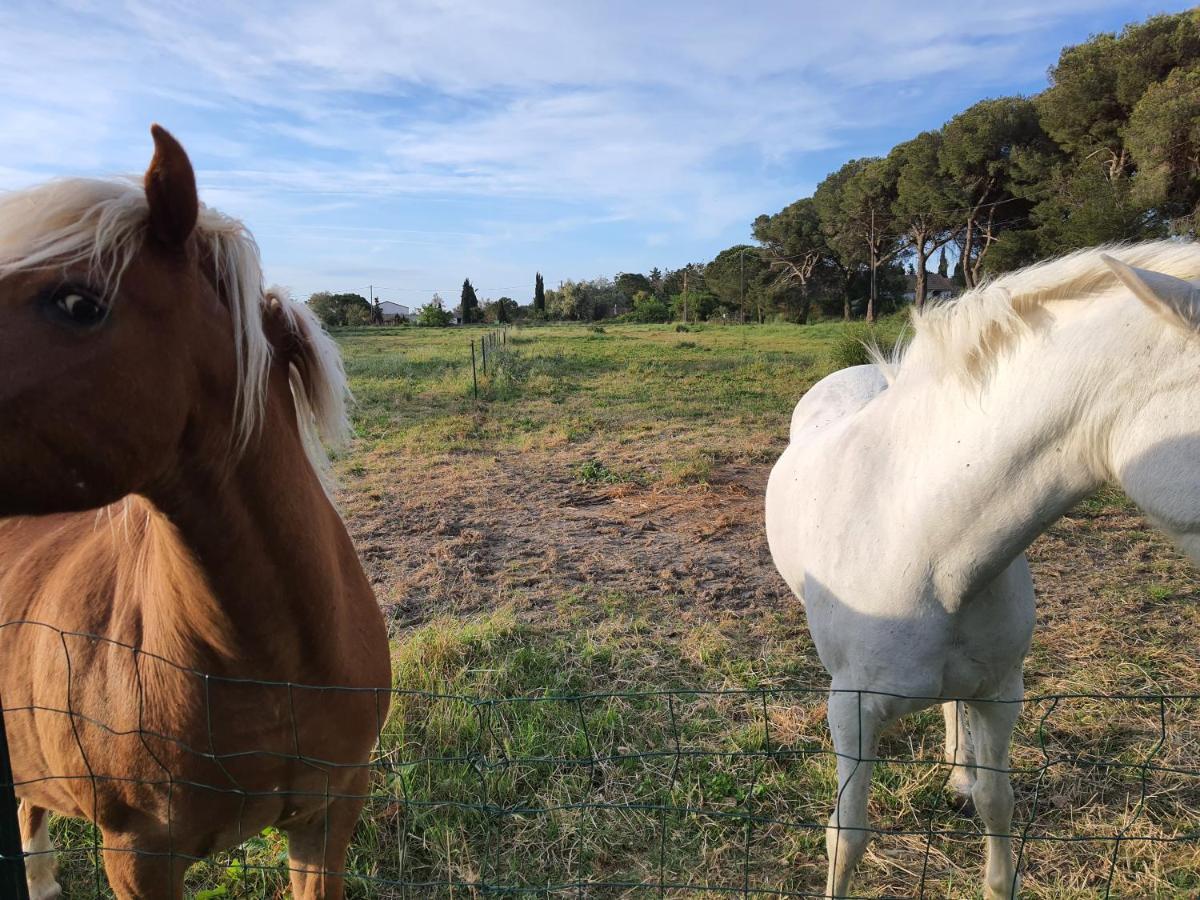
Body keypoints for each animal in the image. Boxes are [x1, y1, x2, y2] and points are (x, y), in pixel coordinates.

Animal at [763, 241, 1200, 900]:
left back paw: (958, 776)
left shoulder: (1000, 693)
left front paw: (978, 808)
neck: (924, 542)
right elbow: (848, 837)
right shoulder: (852, 711)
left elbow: (999, 802)